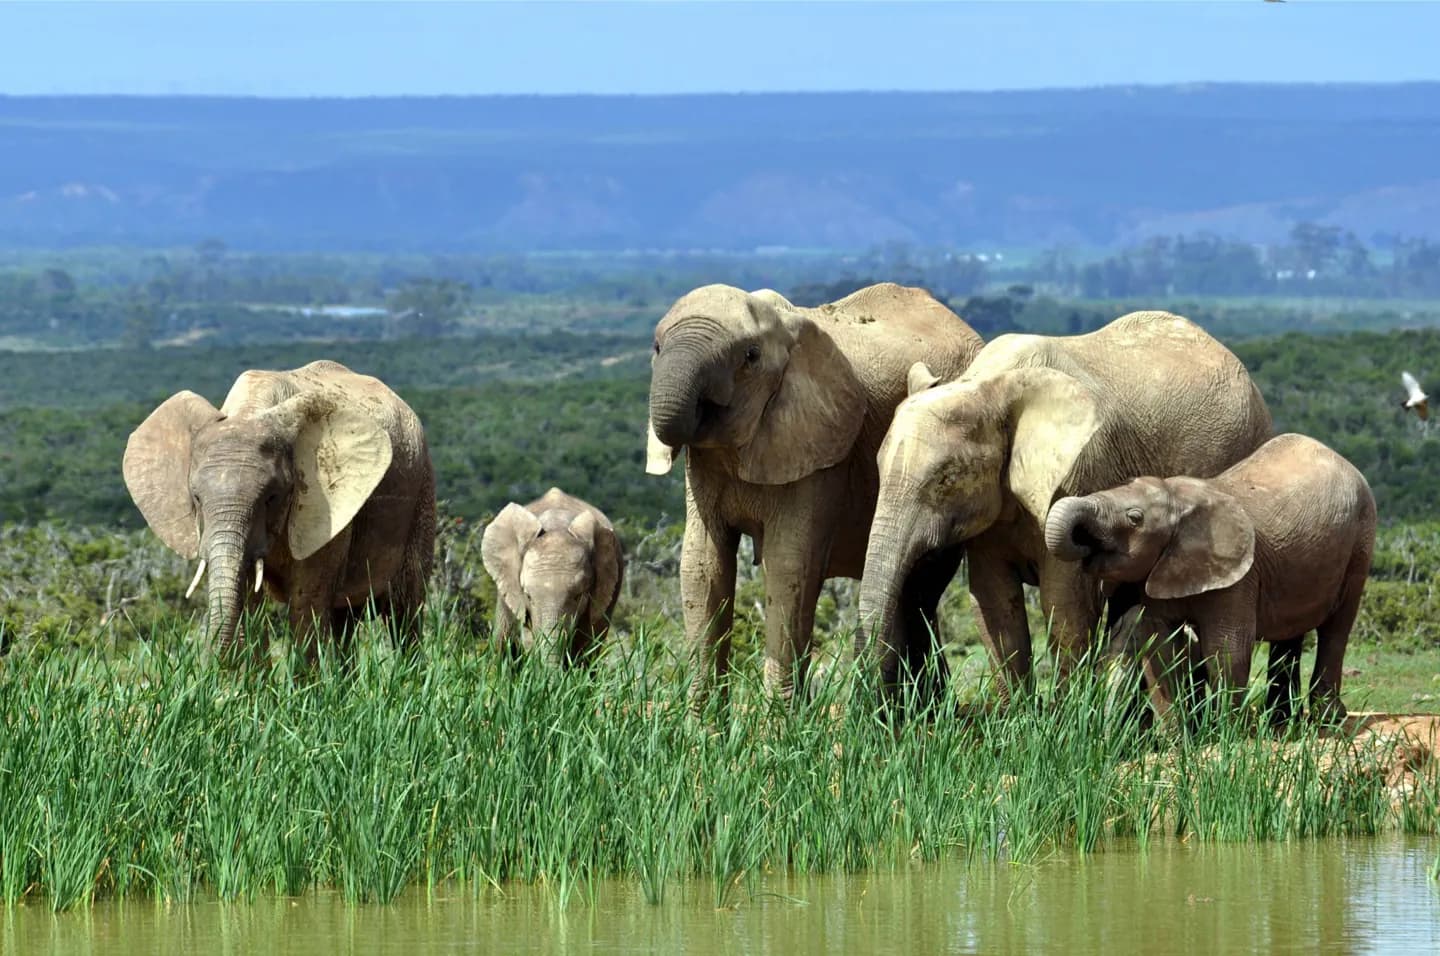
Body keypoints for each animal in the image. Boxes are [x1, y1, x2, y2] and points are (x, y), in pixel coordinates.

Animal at [122, 360, 436, 660]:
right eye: (197, 498)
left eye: (272, 497)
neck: (249, 411)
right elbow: (250, 605)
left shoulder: (325, 513)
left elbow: (306, 603)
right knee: (345, 620)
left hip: (423, 493)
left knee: (404, 613)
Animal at [645, 281, 983, 709]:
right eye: (656, 348)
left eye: (750, 357)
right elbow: (702, 565)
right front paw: (702, 724)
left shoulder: (822, 452)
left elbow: (789, 566)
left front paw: (779, 722)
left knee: (921, 588)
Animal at [858, 310, 1273, 706]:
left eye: (946, 478)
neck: (988, 385)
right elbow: (994, 601)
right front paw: (1016, 718)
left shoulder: (1080, 470)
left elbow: (1064, 602)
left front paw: (1063, 720)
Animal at [1044, 433, 1375, 725]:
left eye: (1134, 518)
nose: (1083, 540)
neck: (1177, 498)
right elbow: (1160, 648)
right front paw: (1181, 738)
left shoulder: (1240, 576)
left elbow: (1227, 649)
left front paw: (1226, 733)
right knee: (1290, 632)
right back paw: (1279, 722)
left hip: (1361, 542)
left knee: (1336, 628)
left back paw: (1327, 719)